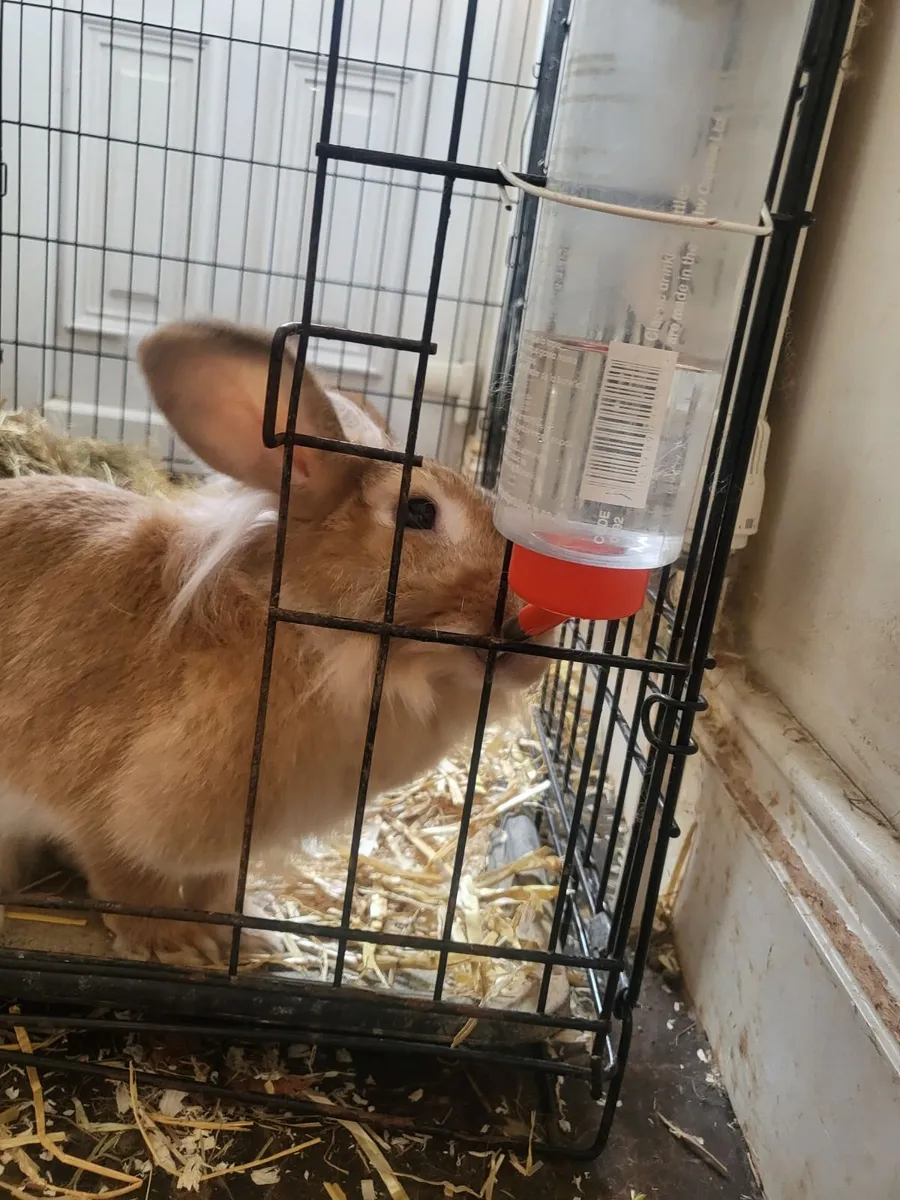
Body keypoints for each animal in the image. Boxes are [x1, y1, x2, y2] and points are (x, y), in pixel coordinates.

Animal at [0, 320, 551, 967]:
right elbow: (127, 882)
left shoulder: (224, 848)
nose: (535, 634)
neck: (312, 641)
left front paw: (245, 934)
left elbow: (216, 888)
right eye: (419, 511)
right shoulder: (105, 812)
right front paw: (177, 945)